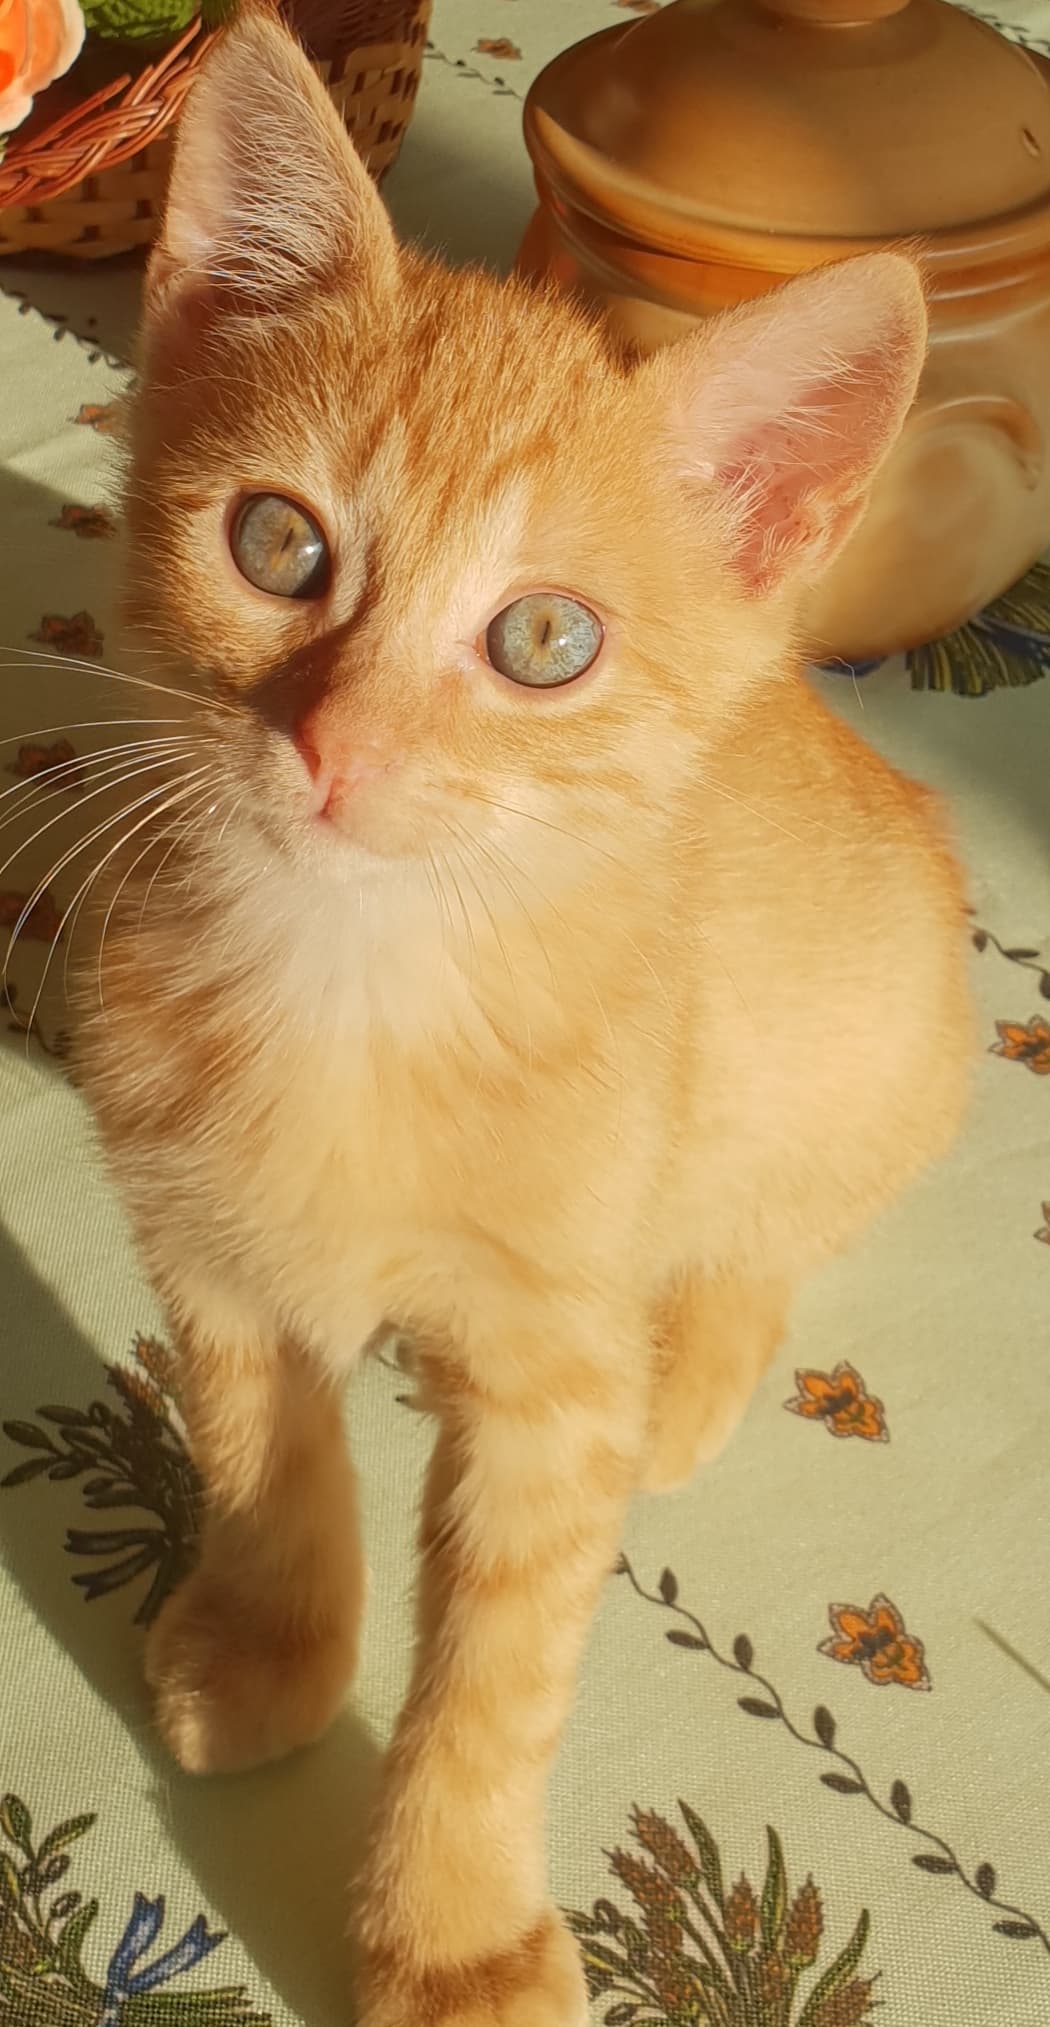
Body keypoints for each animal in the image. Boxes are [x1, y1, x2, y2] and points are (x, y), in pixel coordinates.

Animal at [75, 10, 974, 2024]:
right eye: (277, 544)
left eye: (543, 643)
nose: (334, 748)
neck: (356, 976)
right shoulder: (199, 1232)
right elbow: (257, 1449)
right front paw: (270, 1637)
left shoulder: (552, 1364)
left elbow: (498, 1673)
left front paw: (456, 1932)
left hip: (870, 1052)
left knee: (768, 1229)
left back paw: (697, 1372)